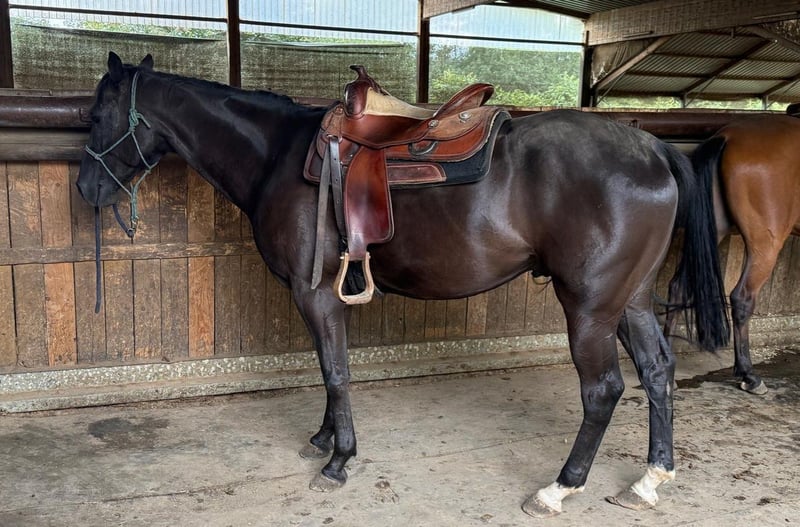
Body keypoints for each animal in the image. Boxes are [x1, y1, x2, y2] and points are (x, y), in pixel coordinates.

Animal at [76, 53, 729, 518]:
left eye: (97, 116)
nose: (85, 189)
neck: (278, 155)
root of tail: (652, 148)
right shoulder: (324, 296)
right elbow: (329, 367)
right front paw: (323, 438)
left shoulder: (314, 293)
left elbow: (336, 371)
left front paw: (339, 459)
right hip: (631, 301)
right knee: (658, 371)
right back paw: (649, 479)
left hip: (590, 307)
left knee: (603, 390)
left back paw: (558, 488)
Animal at [666, 114, 800, 396]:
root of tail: (727, 137)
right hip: (764, 245)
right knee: (742, 297)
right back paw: (750, 375)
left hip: (713, 228)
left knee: (678, 287)